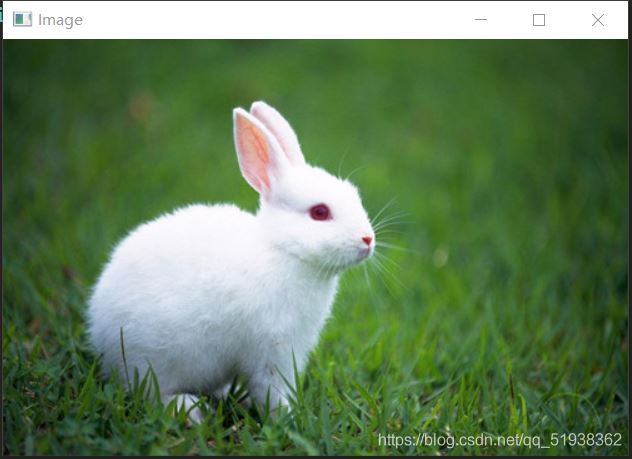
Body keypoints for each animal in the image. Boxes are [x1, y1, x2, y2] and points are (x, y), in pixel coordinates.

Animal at [87, 101, 375, 422]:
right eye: (320, 212)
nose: (367, 239)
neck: (283, 250)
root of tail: (99, 332)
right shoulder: (272, 351)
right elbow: (272, 390)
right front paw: (288, 417)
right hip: (153, 361)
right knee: (150, 394)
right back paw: (191, 410)